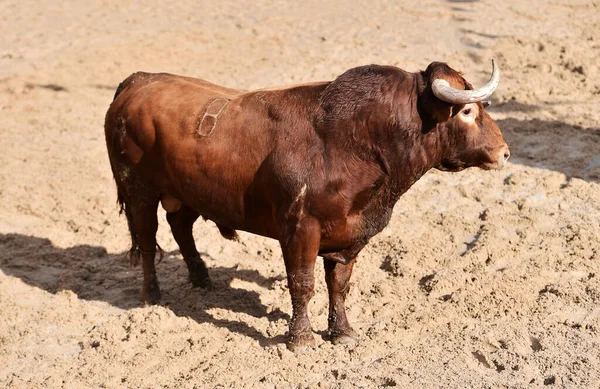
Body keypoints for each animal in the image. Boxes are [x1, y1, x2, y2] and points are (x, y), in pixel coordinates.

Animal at [105, 59, 508, 350]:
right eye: (468, 112)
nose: (504, 152)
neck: (354, 141)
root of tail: (137, 81)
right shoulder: (300, 228)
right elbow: (302, 283)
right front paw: (300, 338)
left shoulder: (349, 235)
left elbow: (338, 285)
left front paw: (342, 332)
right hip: (139, 190)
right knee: (147, 240)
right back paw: (151, 296)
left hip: (188, 191)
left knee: (181, 227)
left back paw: (202, 280)